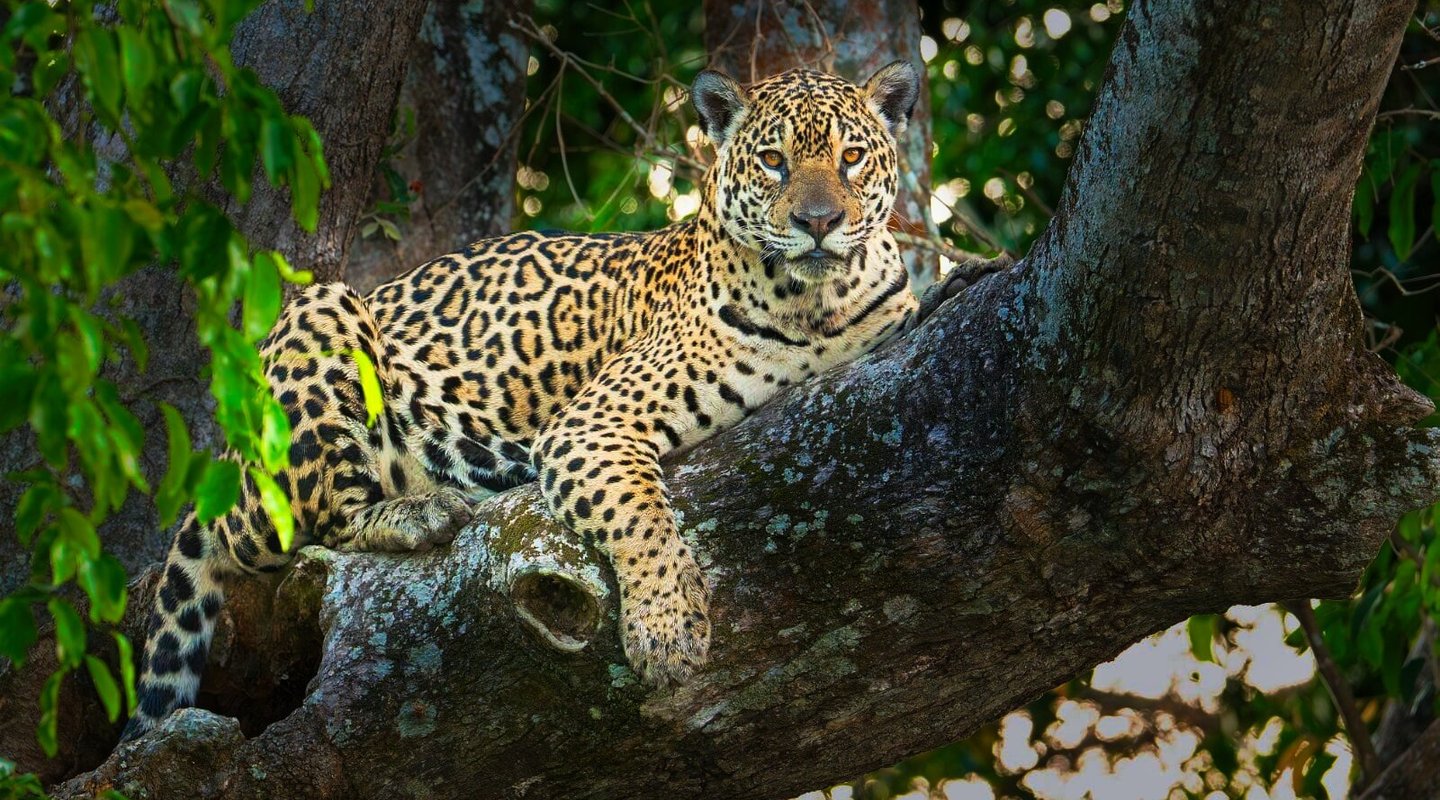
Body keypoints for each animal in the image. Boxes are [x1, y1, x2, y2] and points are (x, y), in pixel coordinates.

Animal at [120, 61, 924, 740]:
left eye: (852, 158)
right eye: (773, 161)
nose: (817, 222)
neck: (817, 307)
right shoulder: (590, 425)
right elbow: (643, 518)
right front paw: (667, 630)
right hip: (321, 322)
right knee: (303, 527)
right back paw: (417, 512)